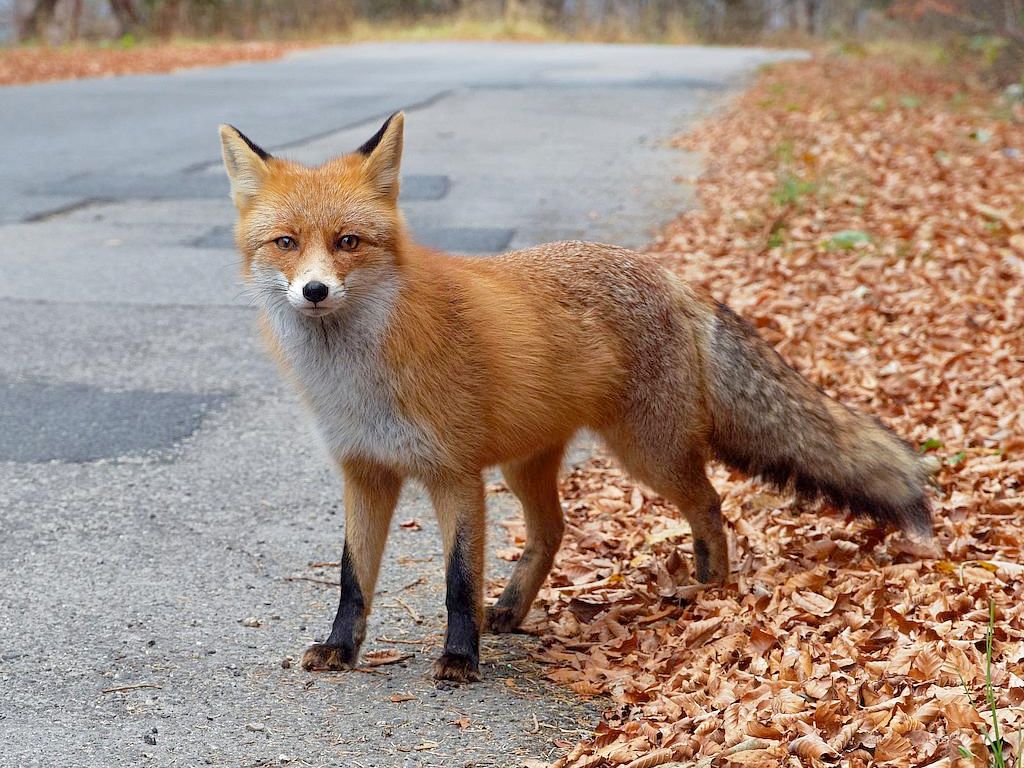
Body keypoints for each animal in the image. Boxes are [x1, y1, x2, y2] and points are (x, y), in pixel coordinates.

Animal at [218, 112, 932, 683]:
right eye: (286, 243)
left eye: (347, 242)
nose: (314, 291)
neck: (358, 381)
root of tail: (672, 278)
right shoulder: (366, 473)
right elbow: (352, 579)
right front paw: (341, 649)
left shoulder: (454, 475)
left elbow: (457, 581)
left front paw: (459, 658)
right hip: (525, 464)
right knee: (554, 531)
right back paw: (511, 608)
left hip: (646, 453)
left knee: (710, 504)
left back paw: (711, 587)